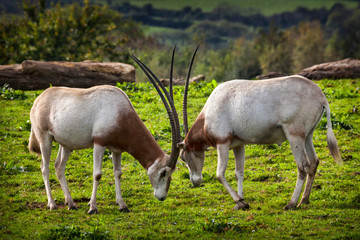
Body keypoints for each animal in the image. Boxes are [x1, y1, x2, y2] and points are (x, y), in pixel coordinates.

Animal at [29, 46, 198, 214]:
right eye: (163, 172)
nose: (162, 197)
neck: (120, 112)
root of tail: (39, 99)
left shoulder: (117, 150)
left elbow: (118, 173)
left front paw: (122, 205)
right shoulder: (99, 143)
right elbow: (97, 174)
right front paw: (93, 207)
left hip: (66, 145)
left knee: (59, 167)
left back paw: (71, 203)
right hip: (45, 138)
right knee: (45, 168)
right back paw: (52, 204)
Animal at [177, 75, 344, 210]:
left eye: (183, 157)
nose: (195, 181)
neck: (207, 117)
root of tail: (321, 96)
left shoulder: (222, 143)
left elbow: (219, 174)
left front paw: (240, 201)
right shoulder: (238, 144)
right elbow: (239, 172)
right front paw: (241, 203)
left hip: (295, 136)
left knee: (303, 166)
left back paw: (291, 203)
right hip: (307, 136)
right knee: (314, 162)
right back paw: (304, 200)